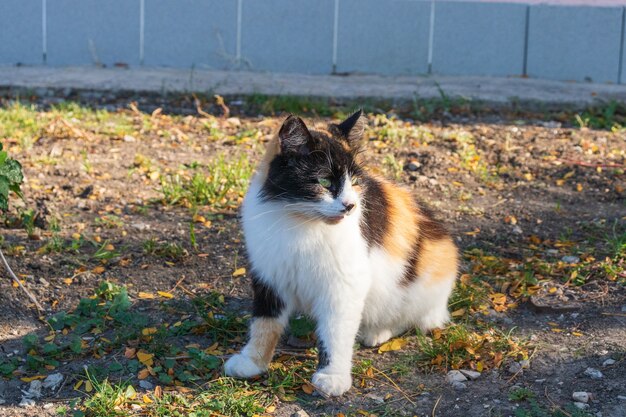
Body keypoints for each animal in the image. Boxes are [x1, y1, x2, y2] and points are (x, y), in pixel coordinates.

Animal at [224, 110, 458, 396]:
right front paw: (253, 361)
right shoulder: (269, 275)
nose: (350, 205)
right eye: (324, 181)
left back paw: (377, 331)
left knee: (414, 317)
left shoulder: (343, 286)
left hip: (419, 288)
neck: (299, 222)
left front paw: (332, 376)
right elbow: (264, 323)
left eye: (355, 182)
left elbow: (335, 333)